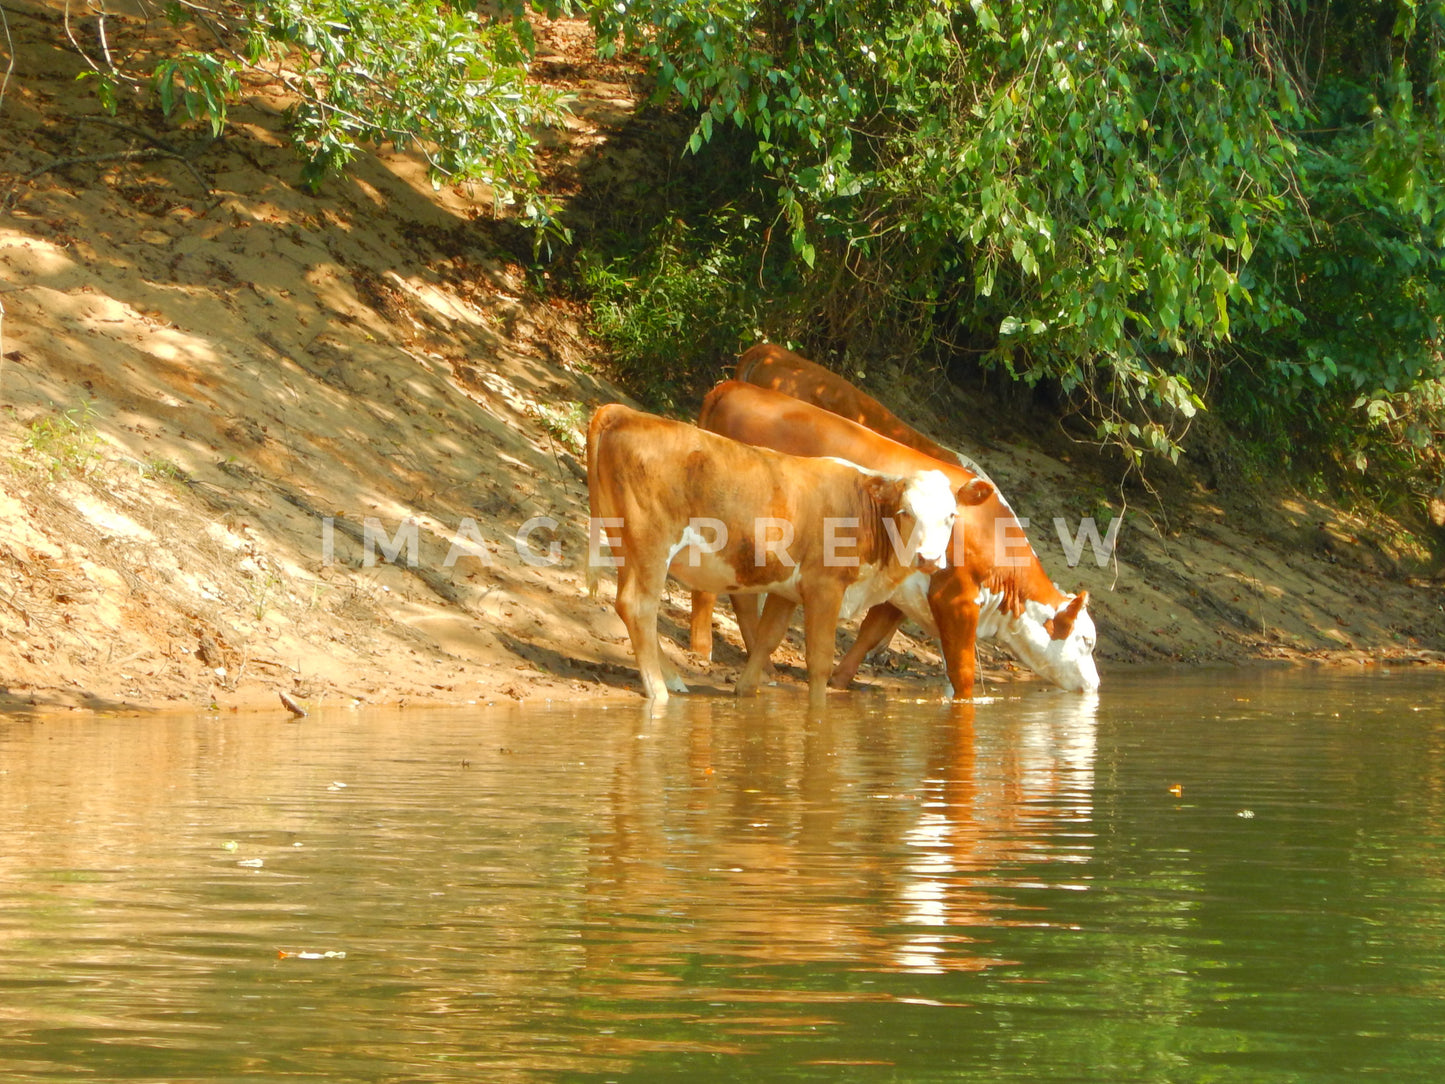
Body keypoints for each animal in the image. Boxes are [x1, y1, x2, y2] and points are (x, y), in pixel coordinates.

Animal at [580, 404, 965, 705]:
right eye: (906, 512)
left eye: (951, 515)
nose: (930, 558)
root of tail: (626, 413)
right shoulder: (825, 586)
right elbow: (819, 660)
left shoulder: (787, 589)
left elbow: (768, 638)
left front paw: (745, 691)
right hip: (651, 542)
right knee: (639, 606)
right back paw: (659, 690)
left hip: (626, 543)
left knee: (626, 604)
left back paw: (673, 678)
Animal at [693, 381, 1098, 699]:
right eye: (1086, 641)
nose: (1095, 685)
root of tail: (731, 387)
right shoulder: (954, 595)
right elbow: (962, 670)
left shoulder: (905, 586)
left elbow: (870, 632)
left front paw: (840, 680)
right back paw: (702, 648)